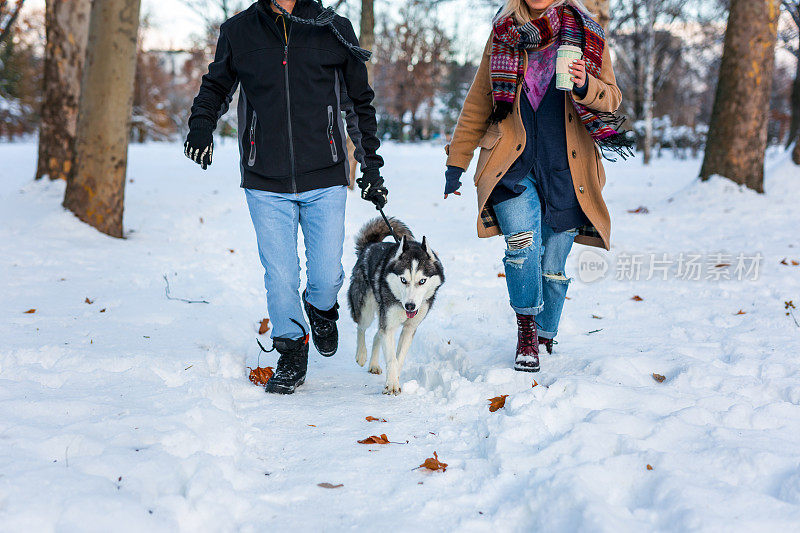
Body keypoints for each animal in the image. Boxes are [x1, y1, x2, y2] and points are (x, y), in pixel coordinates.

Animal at [348, 217, 444, 394]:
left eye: (422, 281)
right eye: (403, 280)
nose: (410, 306)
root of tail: (370, 246)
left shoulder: (409, 328)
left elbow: (398, 358)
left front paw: (395, 379)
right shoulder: (389, 325)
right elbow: (392, 359)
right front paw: (391, 385)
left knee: (377, 334)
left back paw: (373, 364)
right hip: (366, 308)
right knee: (362, 327)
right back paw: (362, 355)